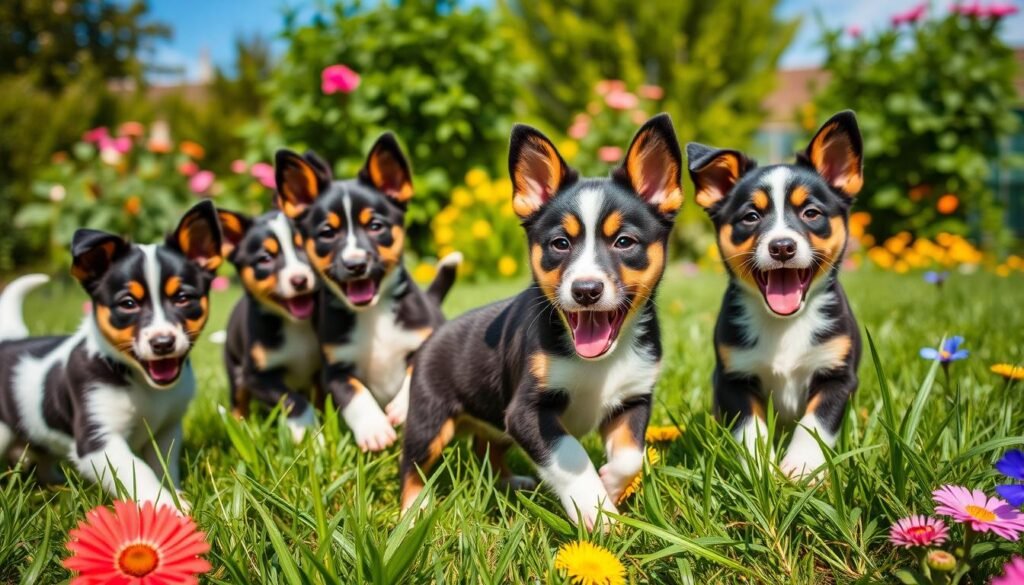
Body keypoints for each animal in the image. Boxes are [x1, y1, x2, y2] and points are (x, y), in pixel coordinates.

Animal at [0, 198, 222, 506]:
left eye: (182, 298)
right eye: (128, 304)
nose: (162, 343)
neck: (140, 382)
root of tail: (9, 339)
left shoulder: (167, 430)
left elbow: (163, 466)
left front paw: (175, 496)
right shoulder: (98, 440)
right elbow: (140, 473)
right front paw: (167, 508)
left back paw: (55, 486)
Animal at [218, 207, 321, 442]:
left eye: (304, 247)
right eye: (265, 259)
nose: (299, 280)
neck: (295, 325)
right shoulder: (256, 377)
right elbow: (294, 400)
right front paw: (308, 433)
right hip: (235, 369)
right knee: (238, 403)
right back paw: (240, 429)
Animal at [276, 137, 460, 452]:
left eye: (376, 226)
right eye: (327, 232)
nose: (356, 264)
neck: (372, 314)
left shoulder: (425, 343)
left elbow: (415, 373)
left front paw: (401, 407)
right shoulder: (334, 370)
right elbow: (354, 393)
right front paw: (374, 429)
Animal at [397, 115, 679, 532]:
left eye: (624, 242)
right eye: (560, 244)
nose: (586, 290)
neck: (598, 364)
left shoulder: (633, 397)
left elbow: (631, 457)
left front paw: (611, 485)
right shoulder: (526, 412)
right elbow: (572, 456)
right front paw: (597, 511)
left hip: (493, 421)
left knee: (486, 447)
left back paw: (510, 483)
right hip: (428, 419)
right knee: (412, 465)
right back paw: (412, 514)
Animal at [688, 111, 864, 481]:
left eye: (811, 213)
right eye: (751, 217)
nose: (782, 246)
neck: (784, 325)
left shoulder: (837, 376)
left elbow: (815, 423)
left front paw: (801, 468)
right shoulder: (733, 378)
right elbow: (750, 430)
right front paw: (761, 470)